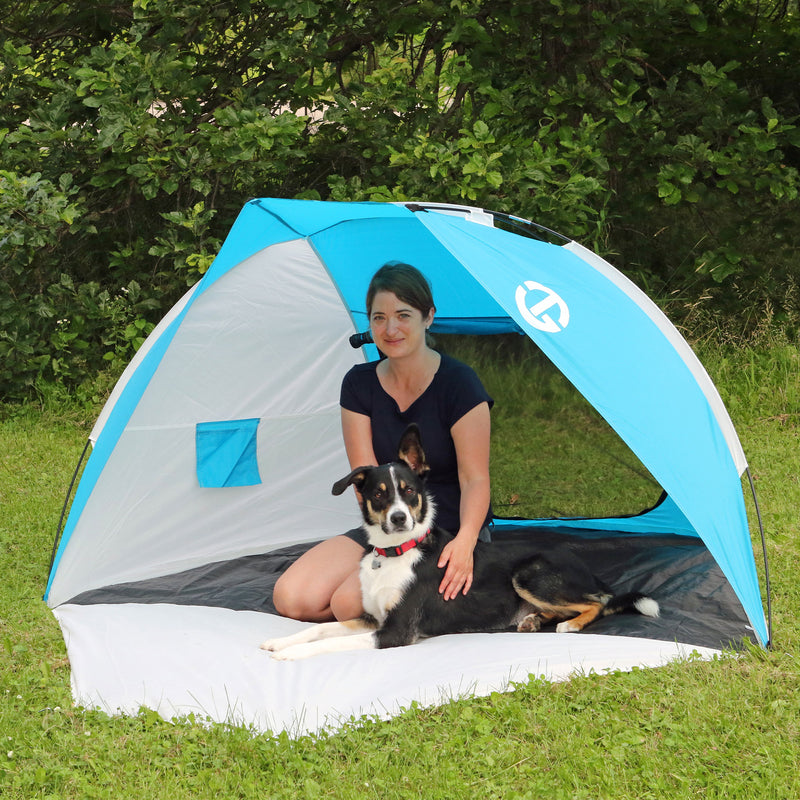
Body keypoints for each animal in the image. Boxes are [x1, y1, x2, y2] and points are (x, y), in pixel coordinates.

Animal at [262, 422, 656, 660]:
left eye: (409, 491)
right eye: (379, 494)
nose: (400, 518)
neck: (393, 554)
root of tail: (586, 568)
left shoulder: (395, 632)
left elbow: (335, 641)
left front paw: (288, 655)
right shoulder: (371, 619)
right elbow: (320, 629)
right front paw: (280, 641)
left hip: (530, 573)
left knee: (597, 602)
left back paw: (570, 624)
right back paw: (532, 621)